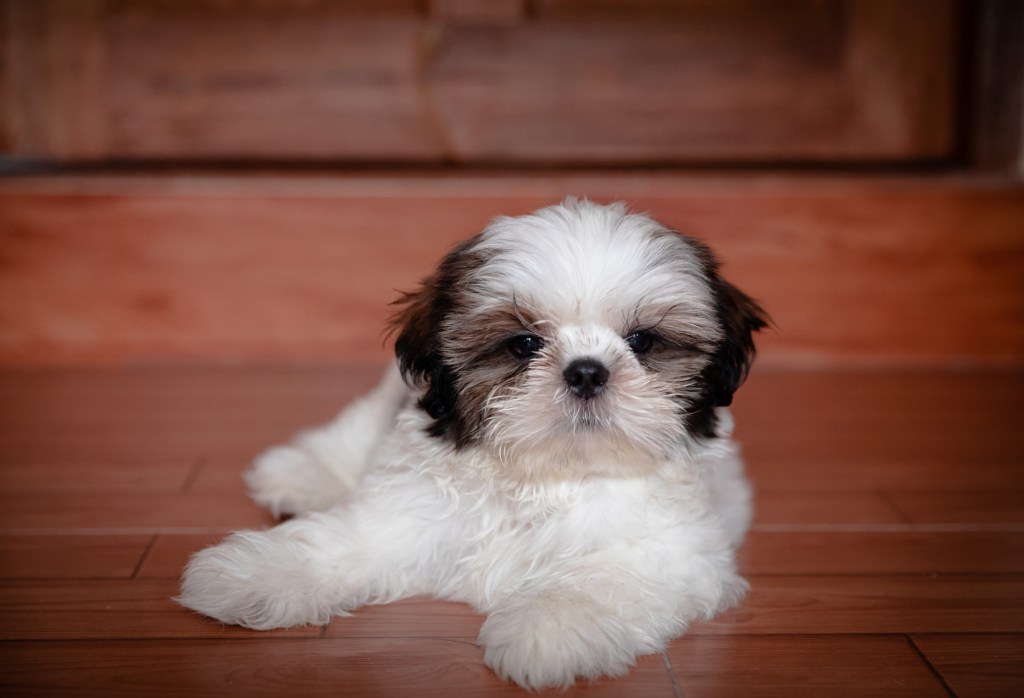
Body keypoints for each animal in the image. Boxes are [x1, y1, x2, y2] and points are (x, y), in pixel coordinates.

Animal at [180, 198, 765, 687]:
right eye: (524, 345)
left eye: (643, 341)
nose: (586, 372)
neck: (548, 476)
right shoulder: (403, 512)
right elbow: (341, 541)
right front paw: (249, 576)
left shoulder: (670, 555)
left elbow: (599, 581)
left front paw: (546, 632)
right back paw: (301, 473)